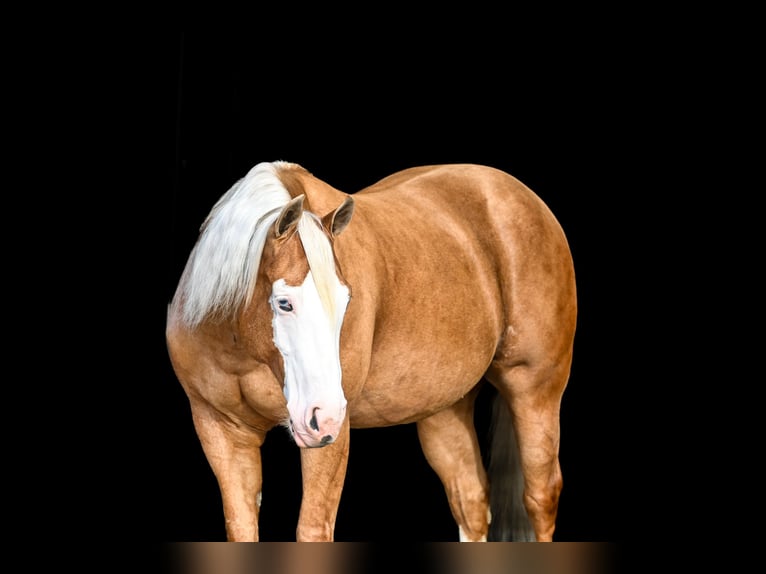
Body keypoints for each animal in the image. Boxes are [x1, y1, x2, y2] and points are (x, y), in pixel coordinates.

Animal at [166, 161, 577, 542]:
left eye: (347, 302)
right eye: (284, 303)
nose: (324, 417)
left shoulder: (331, 438)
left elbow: (313, 529)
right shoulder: (221, 430)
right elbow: (241, 527)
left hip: (534, 390)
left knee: (540, 498)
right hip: (444, 411)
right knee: (471, 501)